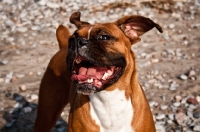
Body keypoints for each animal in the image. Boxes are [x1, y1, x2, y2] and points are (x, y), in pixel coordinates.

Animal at [34, 11, 162, 132]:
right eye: (72, 39)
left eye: (104, 37)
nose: (76, 42)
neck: (108, 98)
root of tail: (63, 47)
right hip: (46, 115)